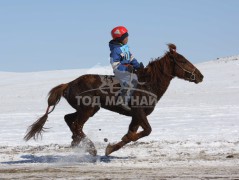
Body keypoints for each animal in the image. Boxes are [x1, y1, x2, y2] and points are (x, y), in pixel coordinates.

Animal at [24, 44, 204, 156]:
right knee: (77, 125)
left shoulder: (136, 116)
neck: (148, 84)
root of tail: (69, 83)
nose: (200, 76)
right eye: (182, 60)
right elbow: (146, 131)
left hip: (87, 109)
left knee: (69, 119)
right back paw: (89, 147)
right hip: (88, 109)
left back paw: (78, 142)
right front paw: (114, 144)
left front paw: (111, 148)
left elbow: (132, 133)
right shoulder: (139, 112)